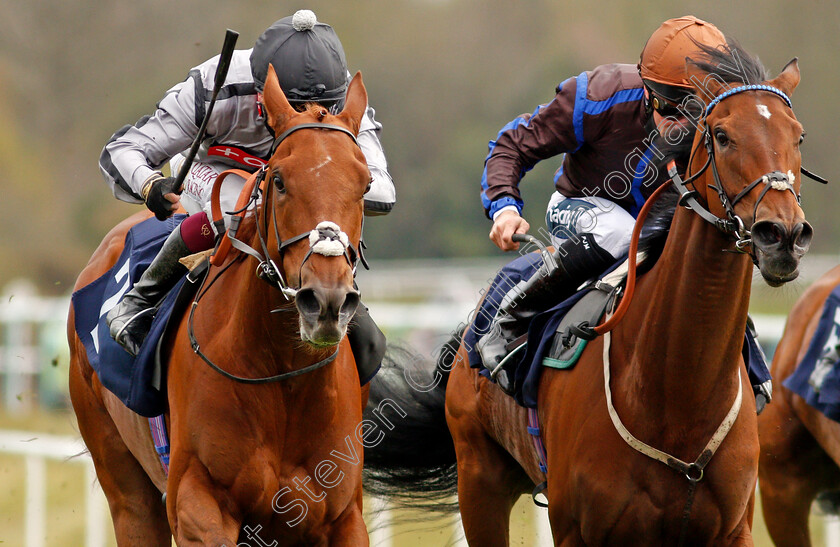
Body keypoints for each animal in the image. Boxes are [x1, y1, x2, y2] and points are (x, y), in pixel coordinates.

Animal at [67, 66, 376, 544]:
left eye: (365, 185)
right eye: (279, 180)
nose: (326, 301)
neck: (282, 376)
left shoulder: (342, 515)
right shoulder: (195, 501)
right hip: (127, 488)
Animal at [364, 49, 812, 544]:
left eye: (798, 135)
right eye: (722, 135)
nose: (783, 235)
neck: (676, 396)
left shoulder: (731, 528)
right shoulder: (577, 527)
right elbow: (517, 141)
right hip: (479, 478)